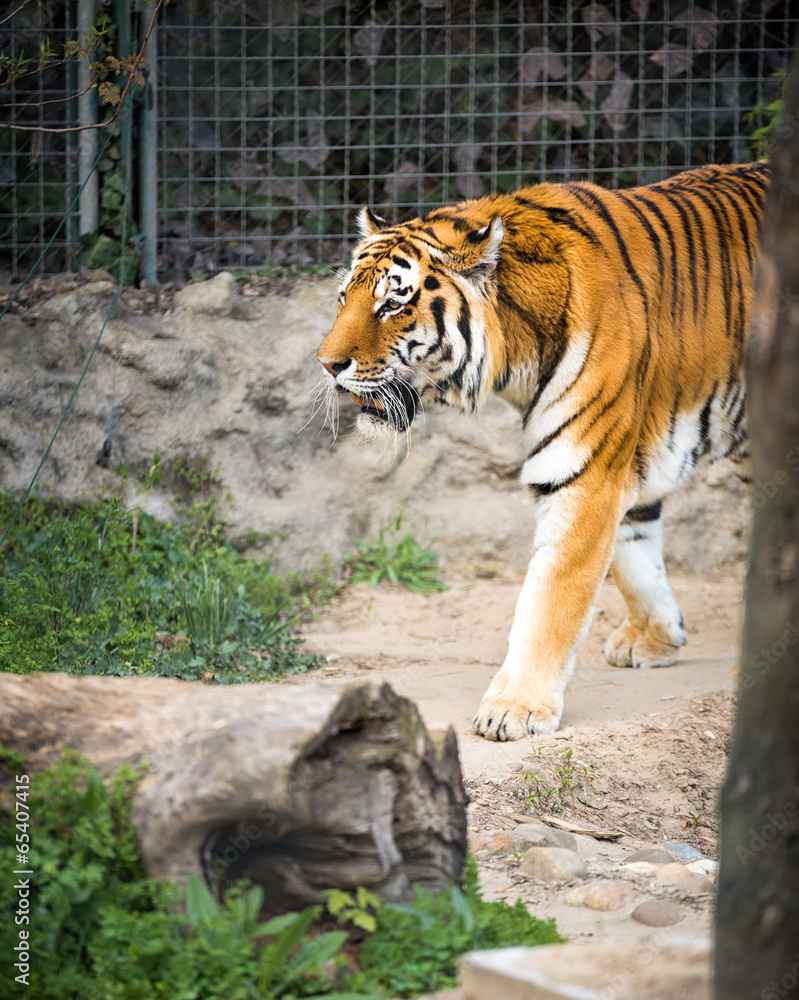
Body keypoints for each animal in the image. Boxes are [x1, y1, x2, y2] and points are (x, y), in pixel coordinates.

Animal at [316, 161, 769, 741]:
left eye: (393, 303)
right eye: (343, 299)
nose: (327, 364)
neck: (517, 361)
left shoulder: (584, 472)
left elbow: (551, 597)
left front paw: (516, 708)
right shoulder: (624, 462)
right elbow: (637, 556)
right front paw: (657, 637)